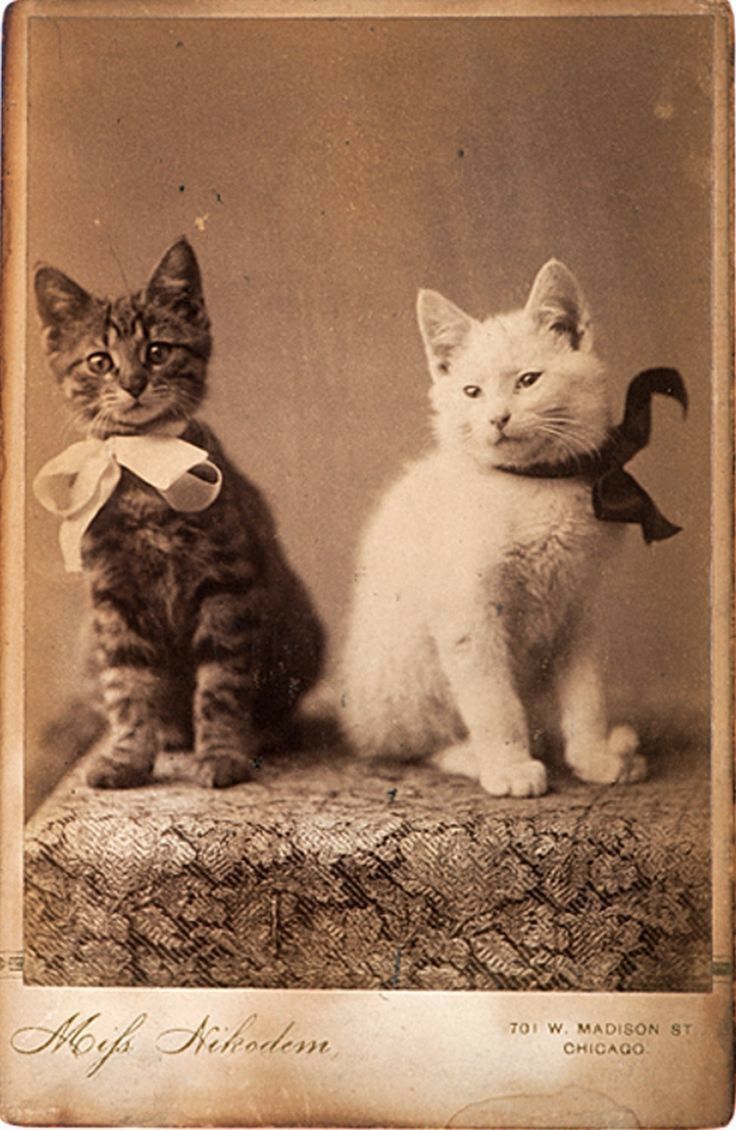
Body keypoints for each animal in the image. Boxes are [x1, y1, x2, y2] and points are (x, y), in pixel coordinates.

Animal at [34, 236, 323, 786]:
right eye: (100, 361)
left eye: (157, 351)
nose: (134, 382)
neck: (143, 464)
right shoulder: (113, 599)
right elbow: (127, 686)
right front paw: (128, 756)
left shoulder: (226, 585)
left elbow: (221, 683)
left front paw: (221, 752)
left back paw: (263, 734)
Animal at [339, 259, 646, 800]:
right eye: (471, 392)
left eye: (528, 380)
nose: (497, 418)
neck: (534, 484)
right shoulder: (468, 613)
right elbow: (494, 703)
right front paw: (509, 766)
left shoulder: (579, 608)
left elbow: (586, 696)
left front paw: (594, 757)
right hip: (405, 662)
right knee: (415, 744)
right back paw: (472, 756)